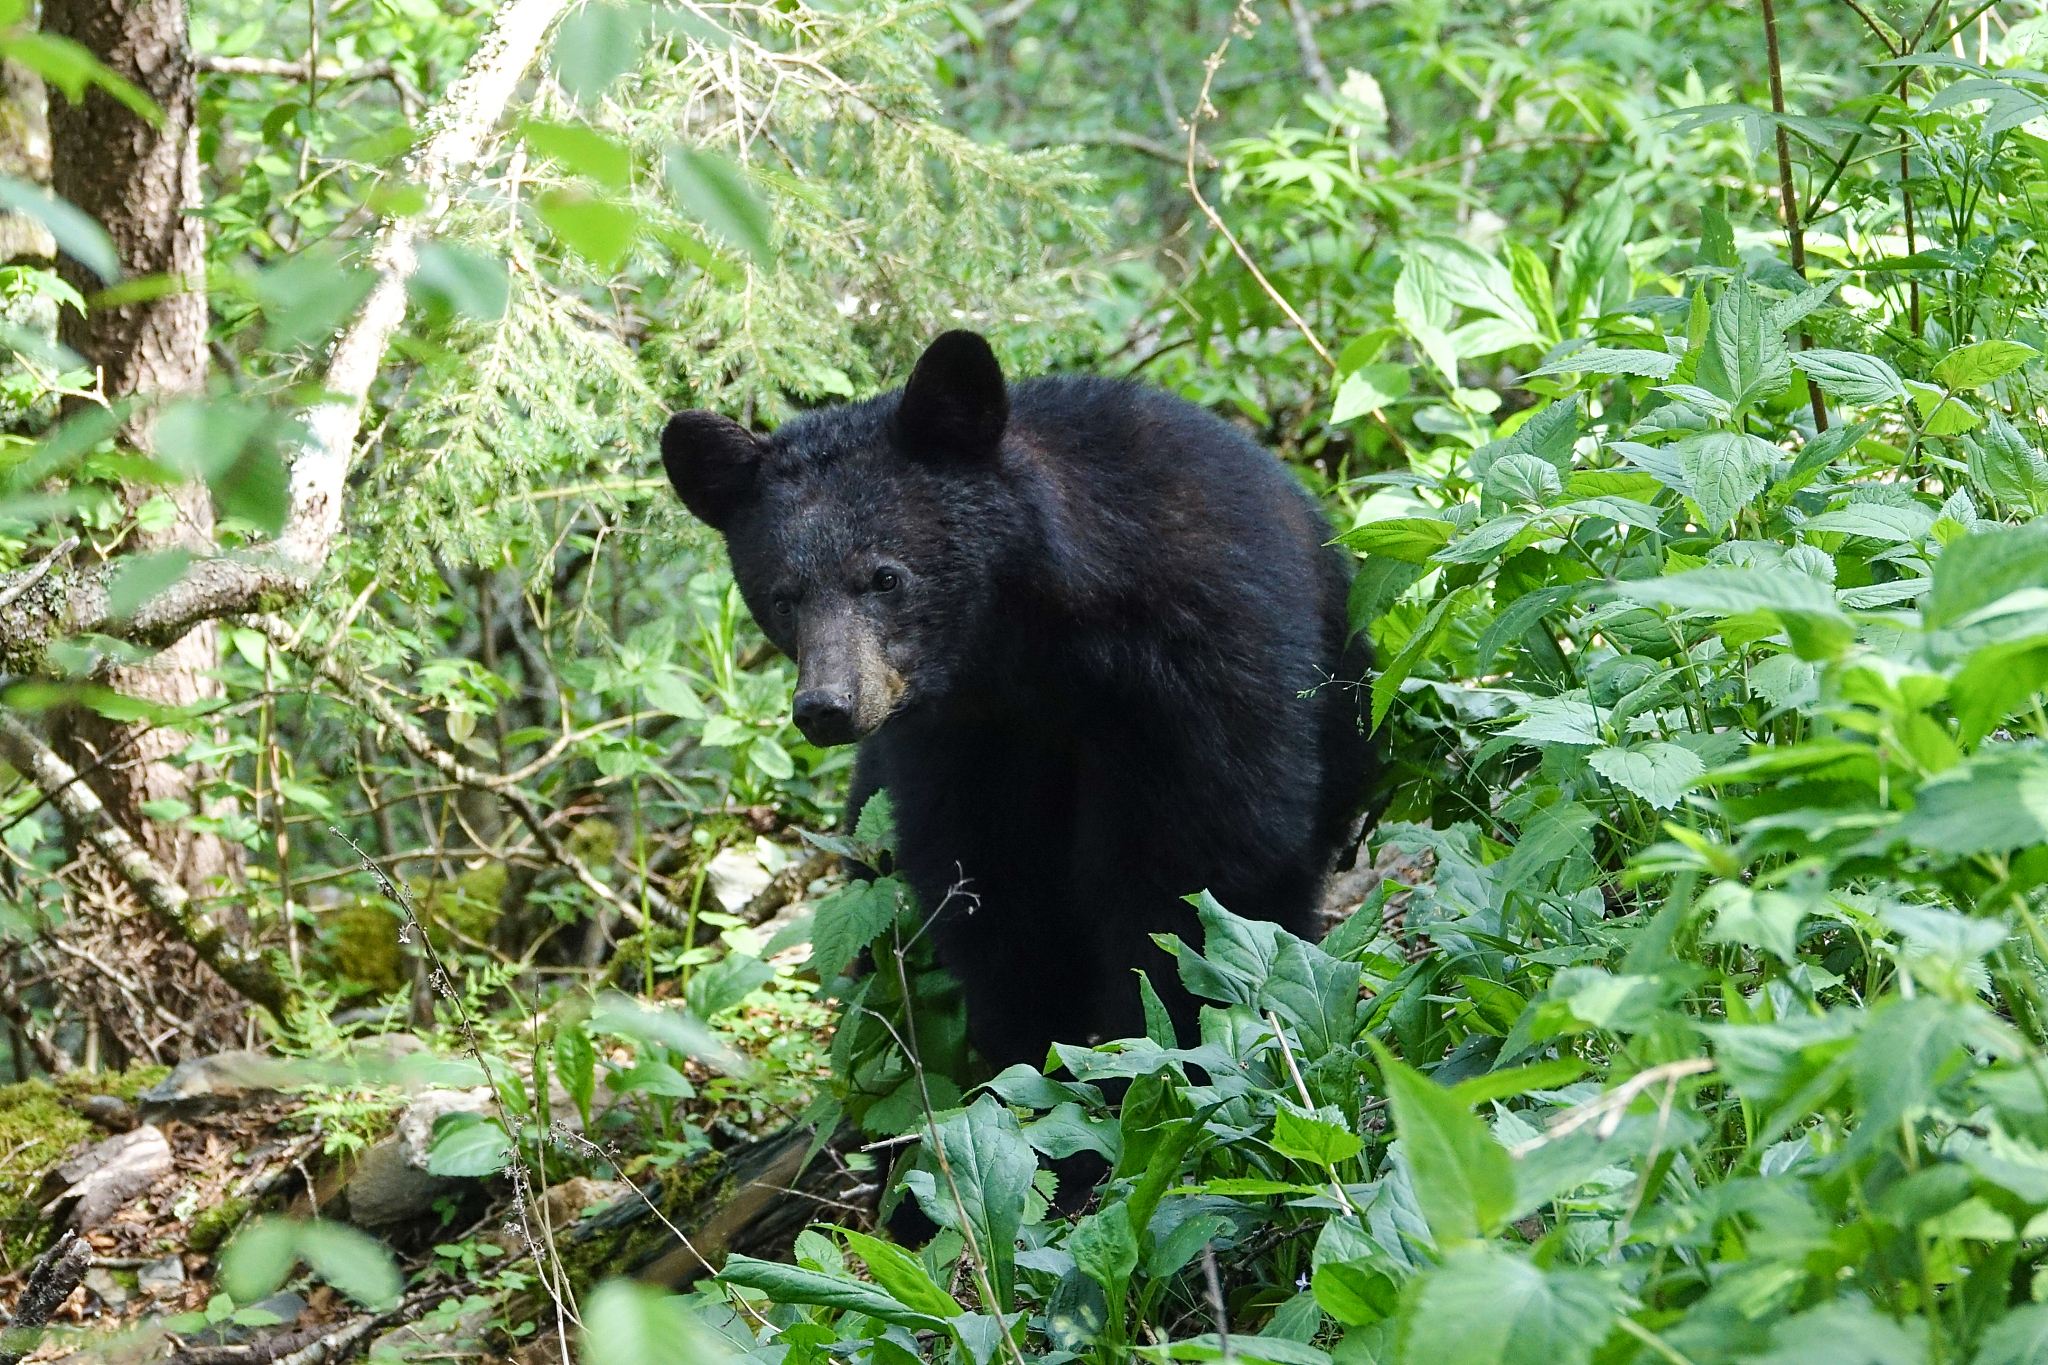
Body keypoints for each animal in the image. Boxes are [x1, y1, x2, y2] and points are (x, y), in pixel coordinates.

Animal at [660, 330, 1375, 1072]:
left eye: (886, 576)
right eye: (782, 598)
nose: (826, 706)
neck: (1033, 648)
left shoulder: (1202, 668)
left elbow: (1201, 874)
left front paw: (1158, 1048)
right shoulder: (960, 736)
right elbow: (987, 884)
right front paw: (1028, 1052)